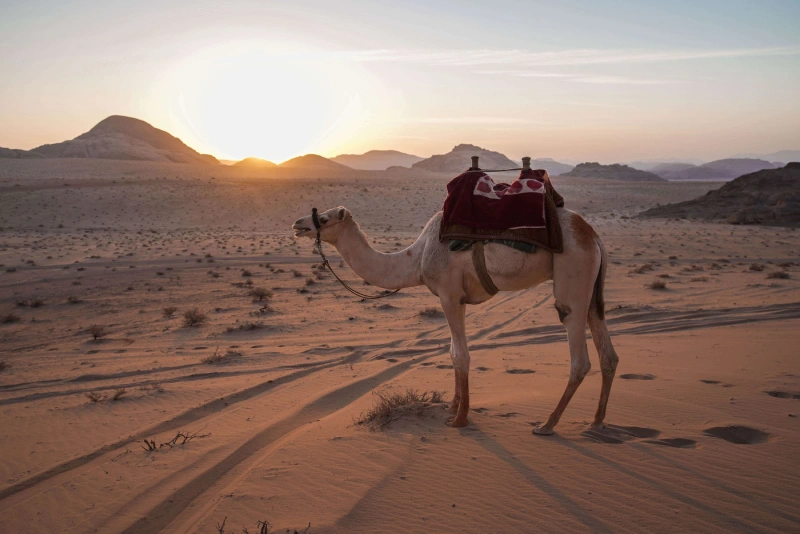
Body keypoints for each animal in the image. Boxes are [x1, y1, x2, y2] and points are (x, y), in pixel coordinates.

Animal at [292, 201, 620, 436]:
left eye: (324, 219)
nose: (297, 223)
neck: (417, 257)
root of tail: (593, 237)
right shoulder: (457, 298)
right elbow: (452, 353)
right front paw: (452, 406)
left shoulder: (449, 295)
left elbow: (461, 355)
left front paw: (460, 419)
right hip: (592, 290)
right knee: (608, 353)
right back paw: (596, 422)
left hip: (573, 276)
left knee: (579, 355)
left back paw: (547, 424)